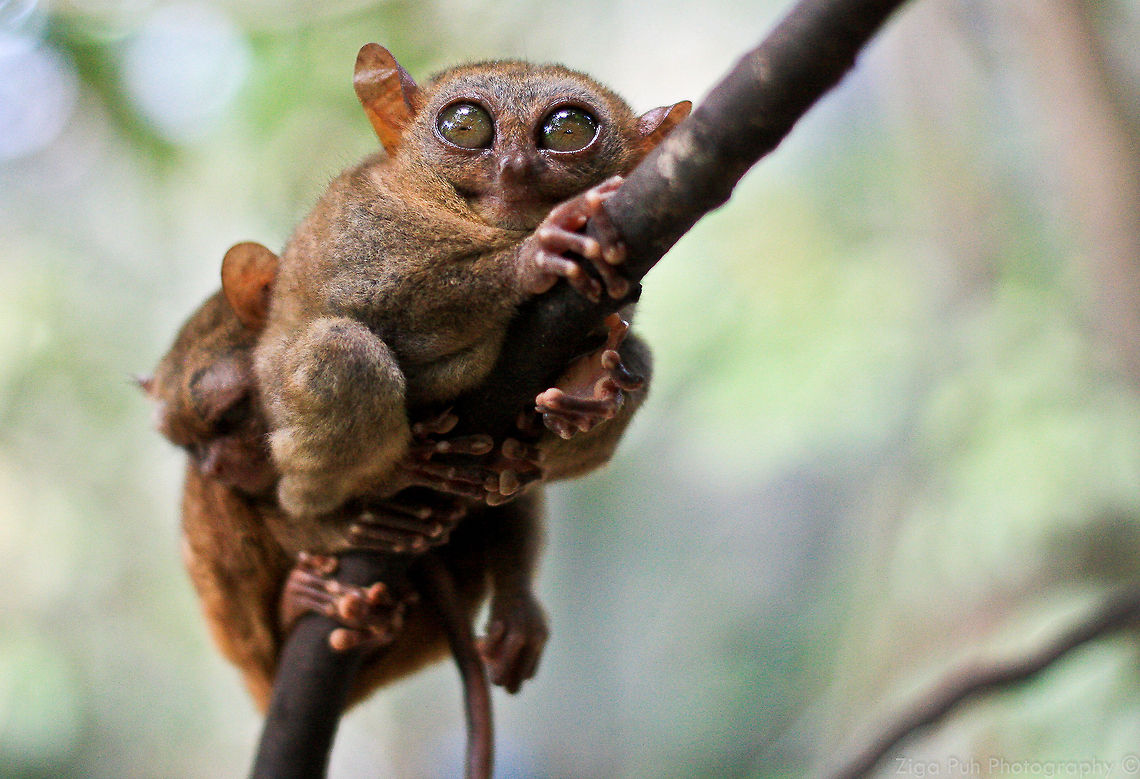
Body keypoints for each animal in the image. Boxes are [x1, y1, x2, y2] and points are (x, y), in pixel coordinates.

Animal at [254, 44, 690, 527]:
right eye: (465, 125)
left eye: (568, 131)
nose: (514, 167)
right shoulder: (363, 220)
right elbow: (377, 302)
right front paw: (538, 253)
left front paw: (589, 386)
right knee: (341, 351)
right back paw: (395, 473)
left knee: (638, 355)